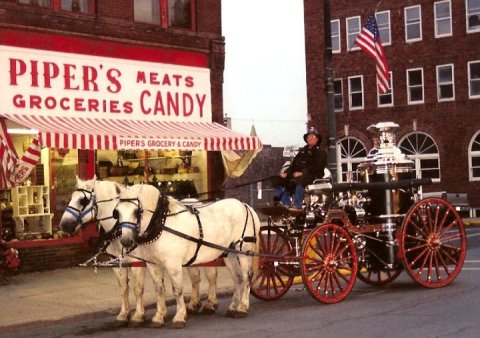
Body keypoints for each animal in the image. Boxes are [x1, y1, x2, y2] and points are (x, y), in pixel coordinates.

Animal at [57, 177, 218, 328]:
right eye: (71, 197)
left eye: (83, 200)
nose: (64, 225)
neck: (119, 228)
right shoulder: (118, 263)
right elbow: (123, 288)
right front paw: (123, 315)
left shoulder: (137, 262)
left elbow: (138, 288)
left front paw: (138, 315)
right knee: (195, 277)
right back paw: (194, 303)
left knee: (210, 276)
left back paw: (210, 303)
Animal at [114, 184, 260, 328]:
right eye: (117, 212)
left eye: (136, 211)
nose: (125, 241)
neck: (162, 224)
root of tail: (245, 205)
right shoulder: (153, 264)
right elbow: (159, 289)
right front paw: (159, 317)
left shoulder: (173, 265)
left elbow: (177, 290)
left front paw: (179, 316)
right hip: (229, 254)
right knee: (238, 278)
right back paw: (233, 307)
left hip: (244, 252)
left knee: (246, 278)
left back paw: (242, 308)